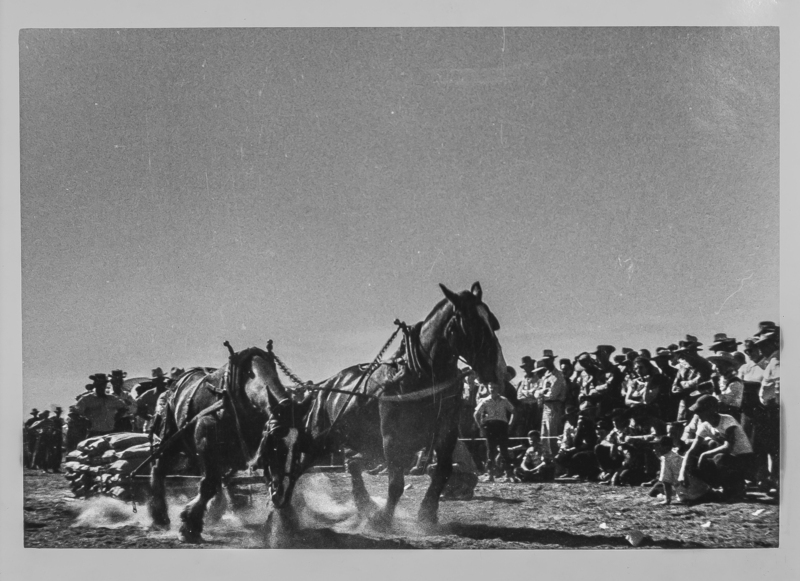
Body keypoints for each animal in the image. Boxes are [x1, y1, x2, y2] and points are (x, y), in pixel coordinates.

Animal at [147, 344, 306, 540]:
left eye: (294, 439)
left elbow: (275, 484)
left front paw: (284, 523)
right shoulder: (206, 444)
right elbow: (208, 485)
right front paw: (190, 525)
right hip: (171, 441)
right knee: (158, 469)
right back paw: (159, 517)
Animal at [282, 284, 506, 528]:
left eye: (493, 323)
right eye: (471, 323)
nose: (499, 370)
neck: (422, 376)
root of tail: (326, 386)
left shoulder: (446, 433)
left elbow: (443, 471)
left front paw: (427, 514)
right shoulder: (392, 438)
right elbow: (396, 483)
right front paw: (384, 519)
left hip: (360, 441)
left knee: (352, 464)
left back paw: (365, 505)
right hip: (321, 439)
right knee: (300, 467)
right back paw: (283, 508)